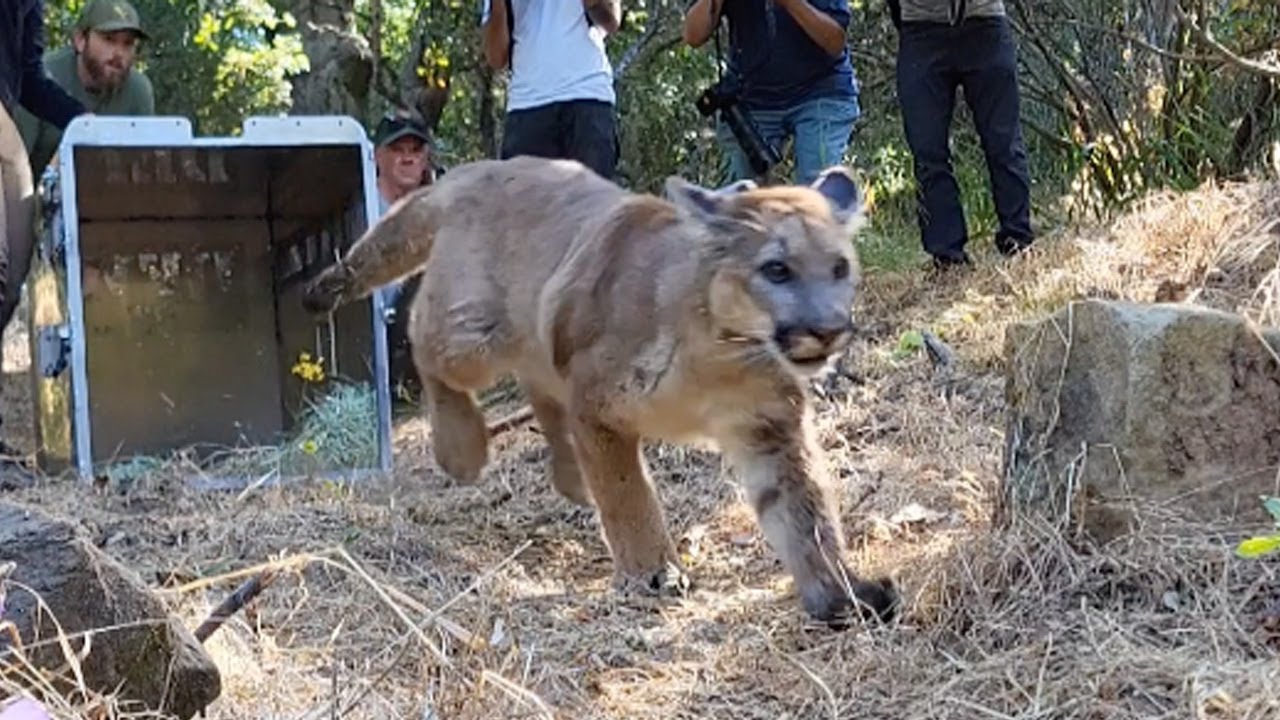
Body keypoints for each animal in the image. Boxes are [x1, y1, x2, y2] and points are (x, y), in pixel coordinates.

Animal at [301, 155, 898, 627]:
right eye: (776, 270)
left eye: (839, 267)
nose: (828, 329)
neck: (720, 355)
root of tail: (478, 168)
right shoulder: (598, 403)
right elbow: (626, 494)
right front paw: (653, 573)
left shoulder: (770, 428)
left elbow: (803, 512)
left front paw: (840, 592)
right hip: (473, 335)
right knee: (422, 337)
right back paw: (461, 448)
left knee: (539, 387)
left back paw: (568, 477)